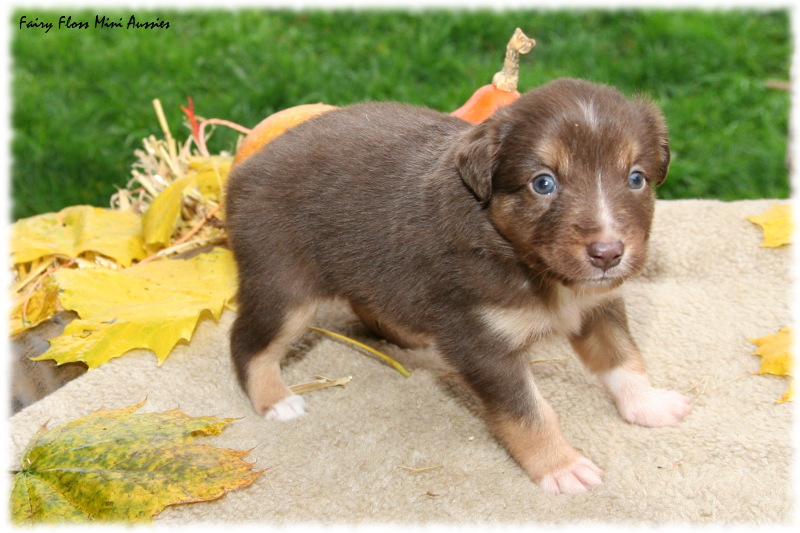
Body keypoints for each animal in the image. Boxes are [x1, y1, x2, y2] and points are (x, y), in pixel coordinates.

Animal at [227, 78, 692, 494]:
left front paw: (648, 404)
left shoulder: (600, 306)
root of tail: (245, 169)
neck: (525, 261)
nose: (608, 253)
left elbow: (624, 358)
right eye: (543, 182)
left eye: (636, 178)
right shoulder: (483, 342)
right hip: (284, 286)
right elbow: (529, 413)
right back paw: (276, 401)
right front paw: (562, 468)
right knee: (247, 342)